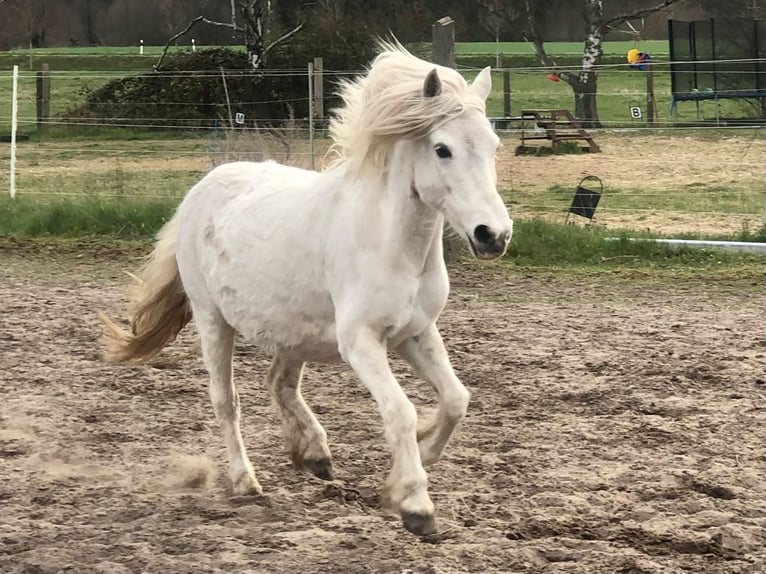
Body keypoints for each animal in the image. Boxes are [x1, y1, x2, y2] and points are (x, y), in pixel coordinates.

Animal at [100, 42, 510, 536]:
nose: (493, 235)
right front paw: (414, 503)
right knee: (226, 400)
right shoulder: (361, 343)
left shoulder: (416, 333)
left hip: (293, 332)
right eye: (442, 148)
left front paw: (414, 462)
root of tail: (201, 189)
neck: (391, 243)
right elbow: (400, 410)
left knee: (279, 383)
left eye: (493, 146)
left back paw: (314, 454)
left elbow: (455, 400)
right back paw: (246, 481)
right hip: (212, 319)